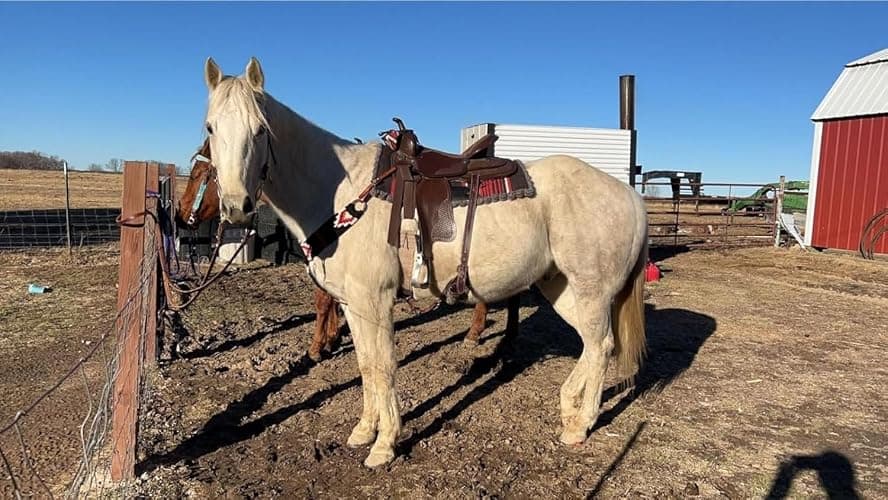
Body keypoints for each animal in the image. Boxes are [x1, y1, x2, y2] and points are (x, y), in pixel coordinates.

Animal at [175, 146, 516, 362]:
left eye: (197, 173)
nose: (179, 215)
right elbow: (333, 301)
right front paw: (334, 337)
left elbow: (323, 301)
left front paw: (318, 346)